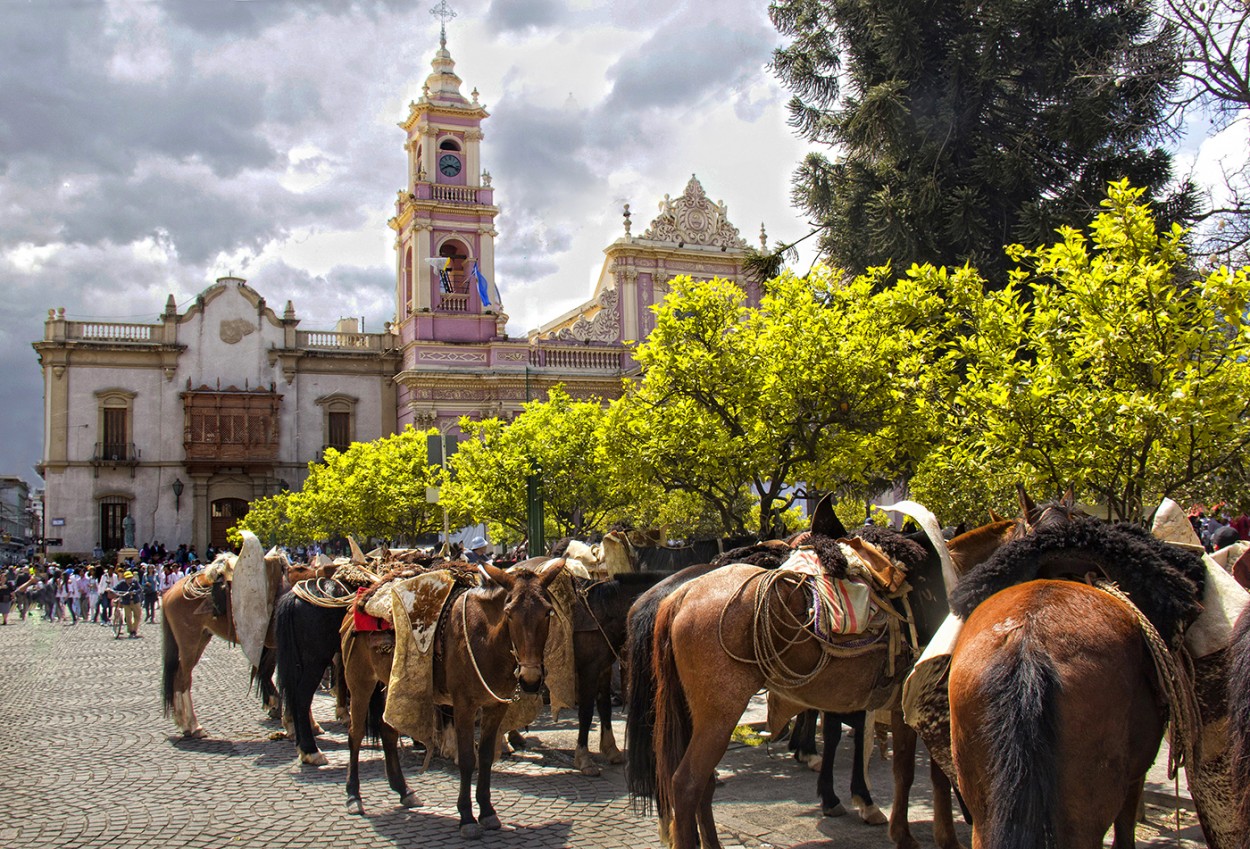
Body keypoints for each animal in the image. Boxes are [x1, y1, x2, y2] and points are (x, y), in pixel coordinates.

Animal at [337, 560, 562, 840]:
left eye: (547, 612)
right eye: (509, 613)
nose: (530, 679)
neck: (484, 638)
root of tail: (357, 603)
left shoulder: (495, 707)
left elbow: (485, 756)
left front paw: (487, 812)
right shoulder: (464, 706)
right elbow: (467, 759)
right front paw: (466, 817)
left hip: (393, 685)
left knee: (388, 730)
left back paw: (404, 791)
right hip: (360, 682)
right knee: (355, 734)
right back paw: (353, 796)